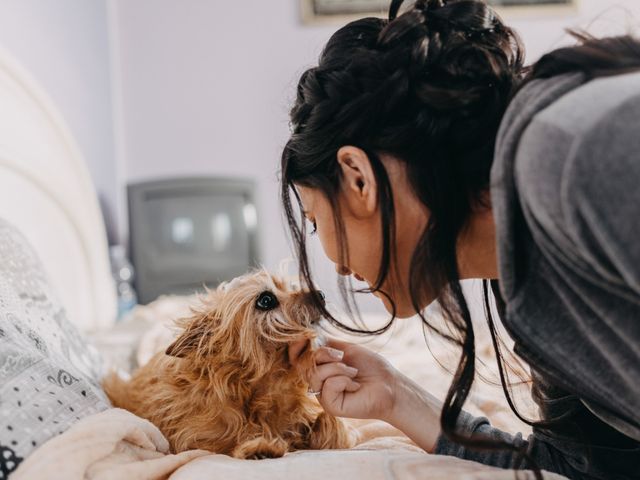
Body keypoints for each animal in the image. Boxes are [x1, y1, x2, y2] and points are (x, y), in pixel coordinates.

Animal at [103, 270, 358, 458]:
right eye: (266, 300)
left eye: (291, 287)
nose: (321, 294)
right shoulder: (194, 441)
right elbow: (224, 443)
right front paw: (258, 447)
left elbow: (333, 422)